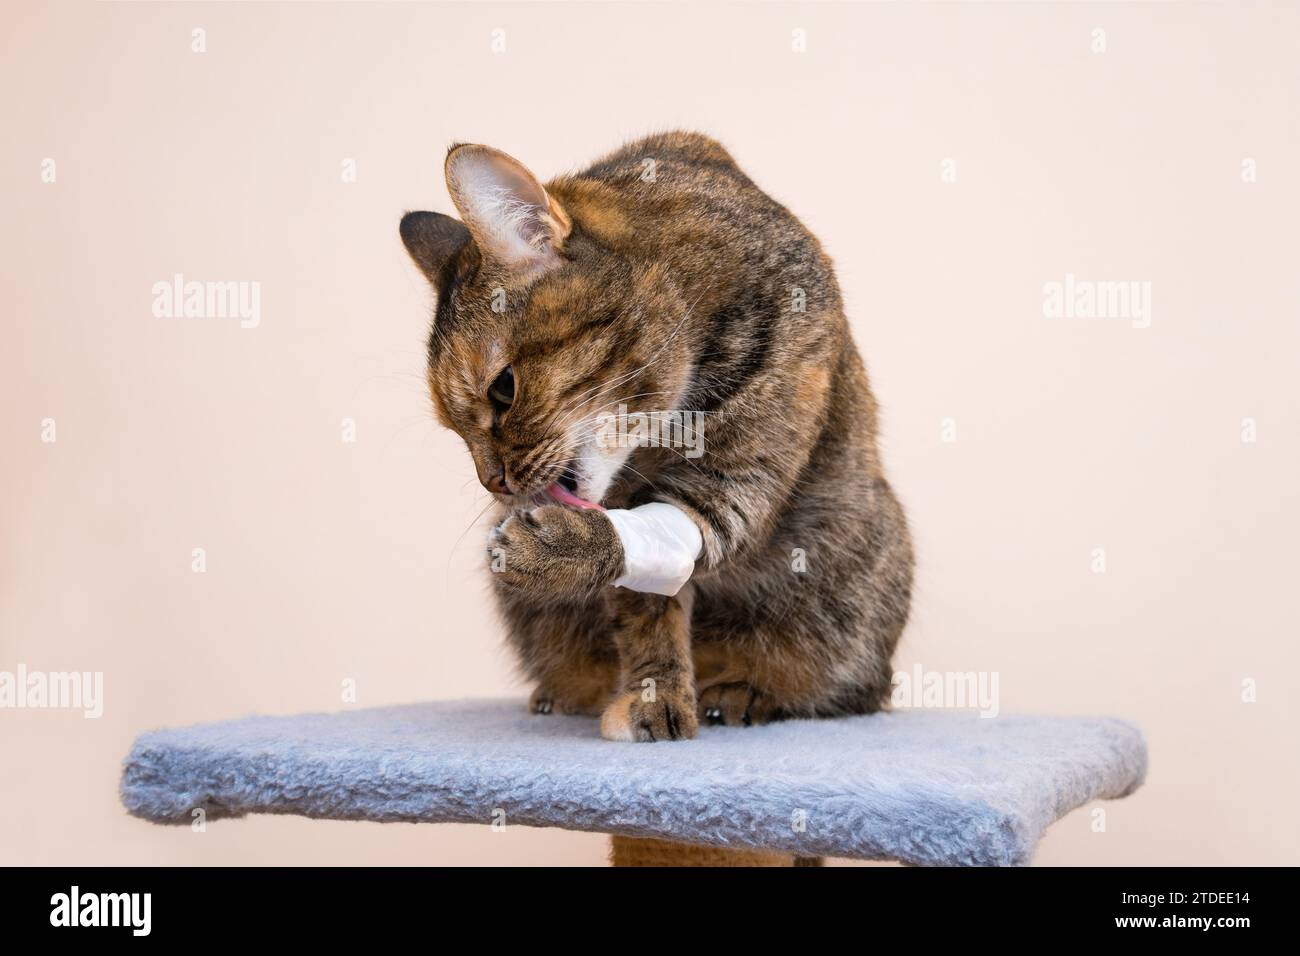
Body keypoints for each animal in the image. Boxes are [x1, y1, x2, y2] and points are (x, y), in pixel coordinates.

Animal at [397, 130, 915, 743]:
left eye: (504, 389)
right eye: (454, 429)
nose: (492, 482)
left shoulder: (737, 481)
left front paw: (563, 548)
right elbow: (648, 612)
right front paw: (656, 696)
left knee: (852, 688)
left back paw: (745, 691)